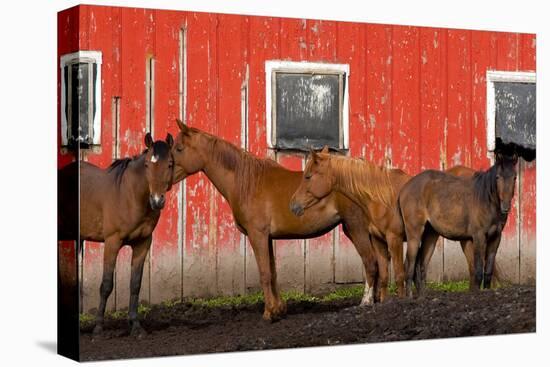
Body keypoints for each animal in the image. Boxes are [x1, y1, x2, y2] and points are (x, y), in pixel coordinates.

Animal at [58, 134, 175, 338]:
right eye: (147, 165)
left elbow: (135, 284)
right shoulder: (112, 242)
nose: (157, 200)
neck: (130, 196)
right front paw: (98, 328)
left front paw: (136, 326)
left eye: (169, 164)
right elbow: (106, 285)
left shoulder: (143, 243)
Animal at [172, 120, 384, 322]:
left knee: (370, 262)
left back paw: (365, 302)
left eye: (179, 148)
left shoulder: (257, 235)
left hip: (356, 228)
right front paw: (279, 309)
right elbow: (273, 273)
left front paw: (269, 313)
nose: (166, 174)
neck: (248, 182)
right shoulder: (267, 238)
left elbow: (265, 273)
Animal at [398, 152, 520, 296]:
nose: (505, 207)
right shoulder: (478, 237)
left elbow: (488, 271)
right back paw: (409, 297)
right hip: (414, 233)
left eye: (514, 177)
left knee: (421, 265)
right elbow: (478, 270)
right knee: (410, 264)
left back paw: (422, 296)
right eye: (497, 177)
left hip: (430, 234)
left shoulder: (496, 237)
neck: (486, 200)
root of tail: (405, 188)